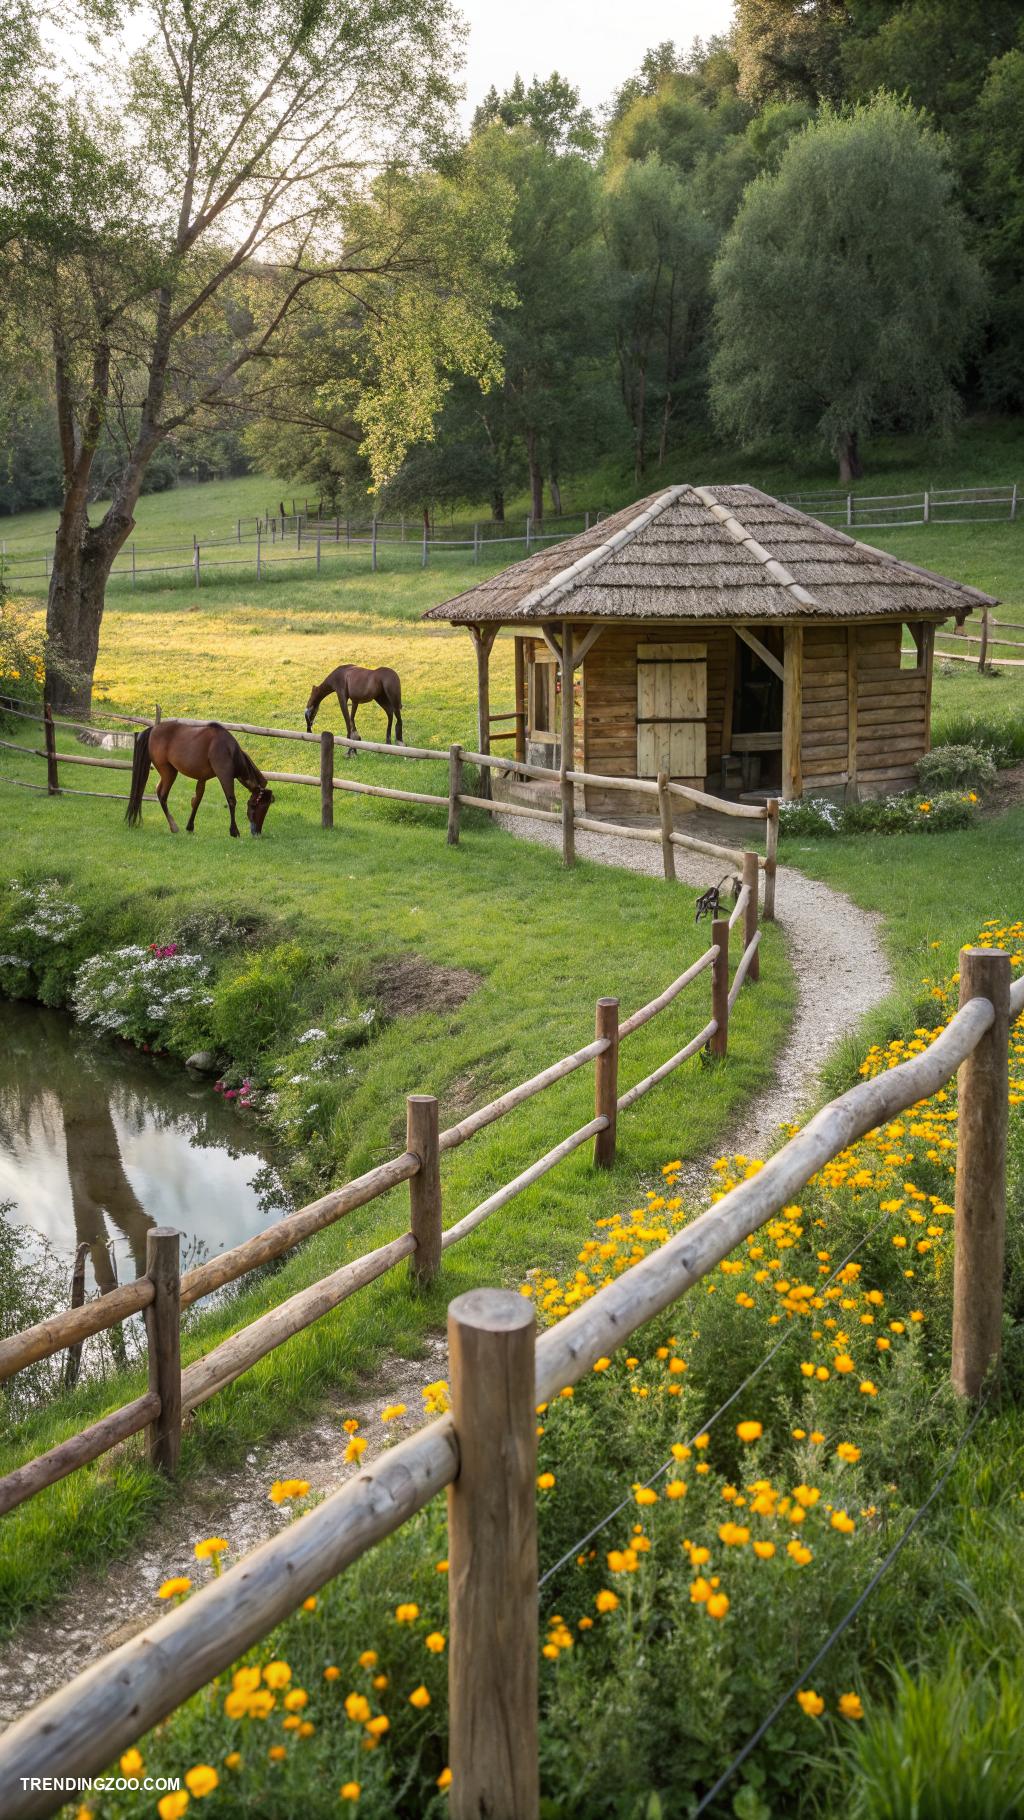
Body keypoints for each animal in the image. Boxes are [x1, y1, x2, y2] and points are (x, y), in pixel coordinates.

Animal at [125, 721, 274, 838]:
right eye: (257, 806)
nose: (257, 832)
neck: (228, 748)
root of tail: (153, 729)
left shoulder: (202, 779)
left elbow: (197, 801)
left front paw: (190, 827)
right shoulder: (224, 775)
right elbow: (231, 801)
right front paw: (234, 831)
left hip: (169, 772)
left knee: (159, 792)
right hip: (169, 772)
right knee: (162, 794)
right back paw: (174, 827)